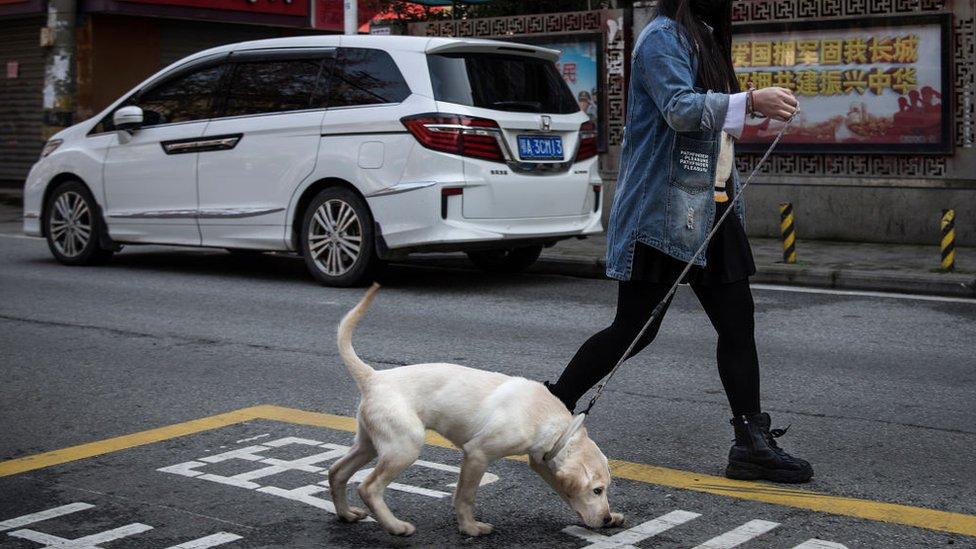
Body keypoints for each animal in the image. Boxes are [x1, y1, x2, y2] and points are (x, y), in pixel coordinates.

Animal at [330, 282, 624, 536]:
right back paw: (395, 526)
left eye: (604, 489)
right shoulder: (477, 454)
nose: (606, 519)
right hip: (405, 445)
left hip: (371, 442)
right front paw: (470, 528)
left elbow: (565, 492)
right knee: (368, 487)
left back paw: (346, 514)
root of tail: (373, 376)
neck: (555, 425)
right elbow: (466, 496)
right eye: (597, 490)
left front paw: (609, 517)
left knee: (337, 471)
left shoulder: (542, 461)